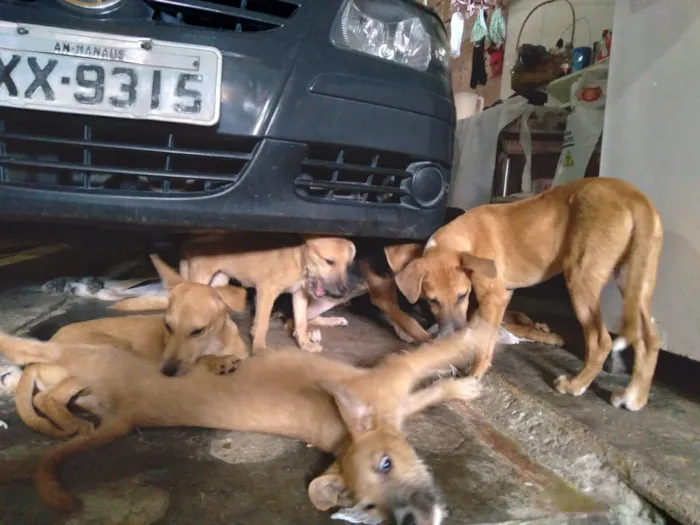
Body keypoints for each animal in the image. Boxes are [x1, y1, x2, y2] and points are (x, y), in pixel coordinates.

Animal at [0, 316, 494, 524]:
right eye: (370, 505)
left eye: (388, 465)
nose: (410, 520)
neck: (346, 428)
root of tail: (127, 412)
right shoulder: (396, 373)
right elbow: (437, 352)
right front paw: (480, 332)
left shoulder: (395, 400)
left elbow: (432, 385)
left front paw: (462, 386)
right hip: (89, 352)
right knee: (30, 350)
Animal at [394, 178, 660, 412]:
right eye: (431, 301)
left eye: (462, 295)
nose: (448, 335)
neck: (462, 238)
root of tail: (635, 196)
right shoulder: (498, 299)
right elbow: (481, 336)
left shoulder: (493, 297)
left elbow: (481, 342)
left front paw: (473, 375)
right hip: (635, 282)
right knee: (649, 340)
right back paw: (634, 397)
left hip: (581, 280)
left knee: (601, 340)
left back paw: (576, 385)